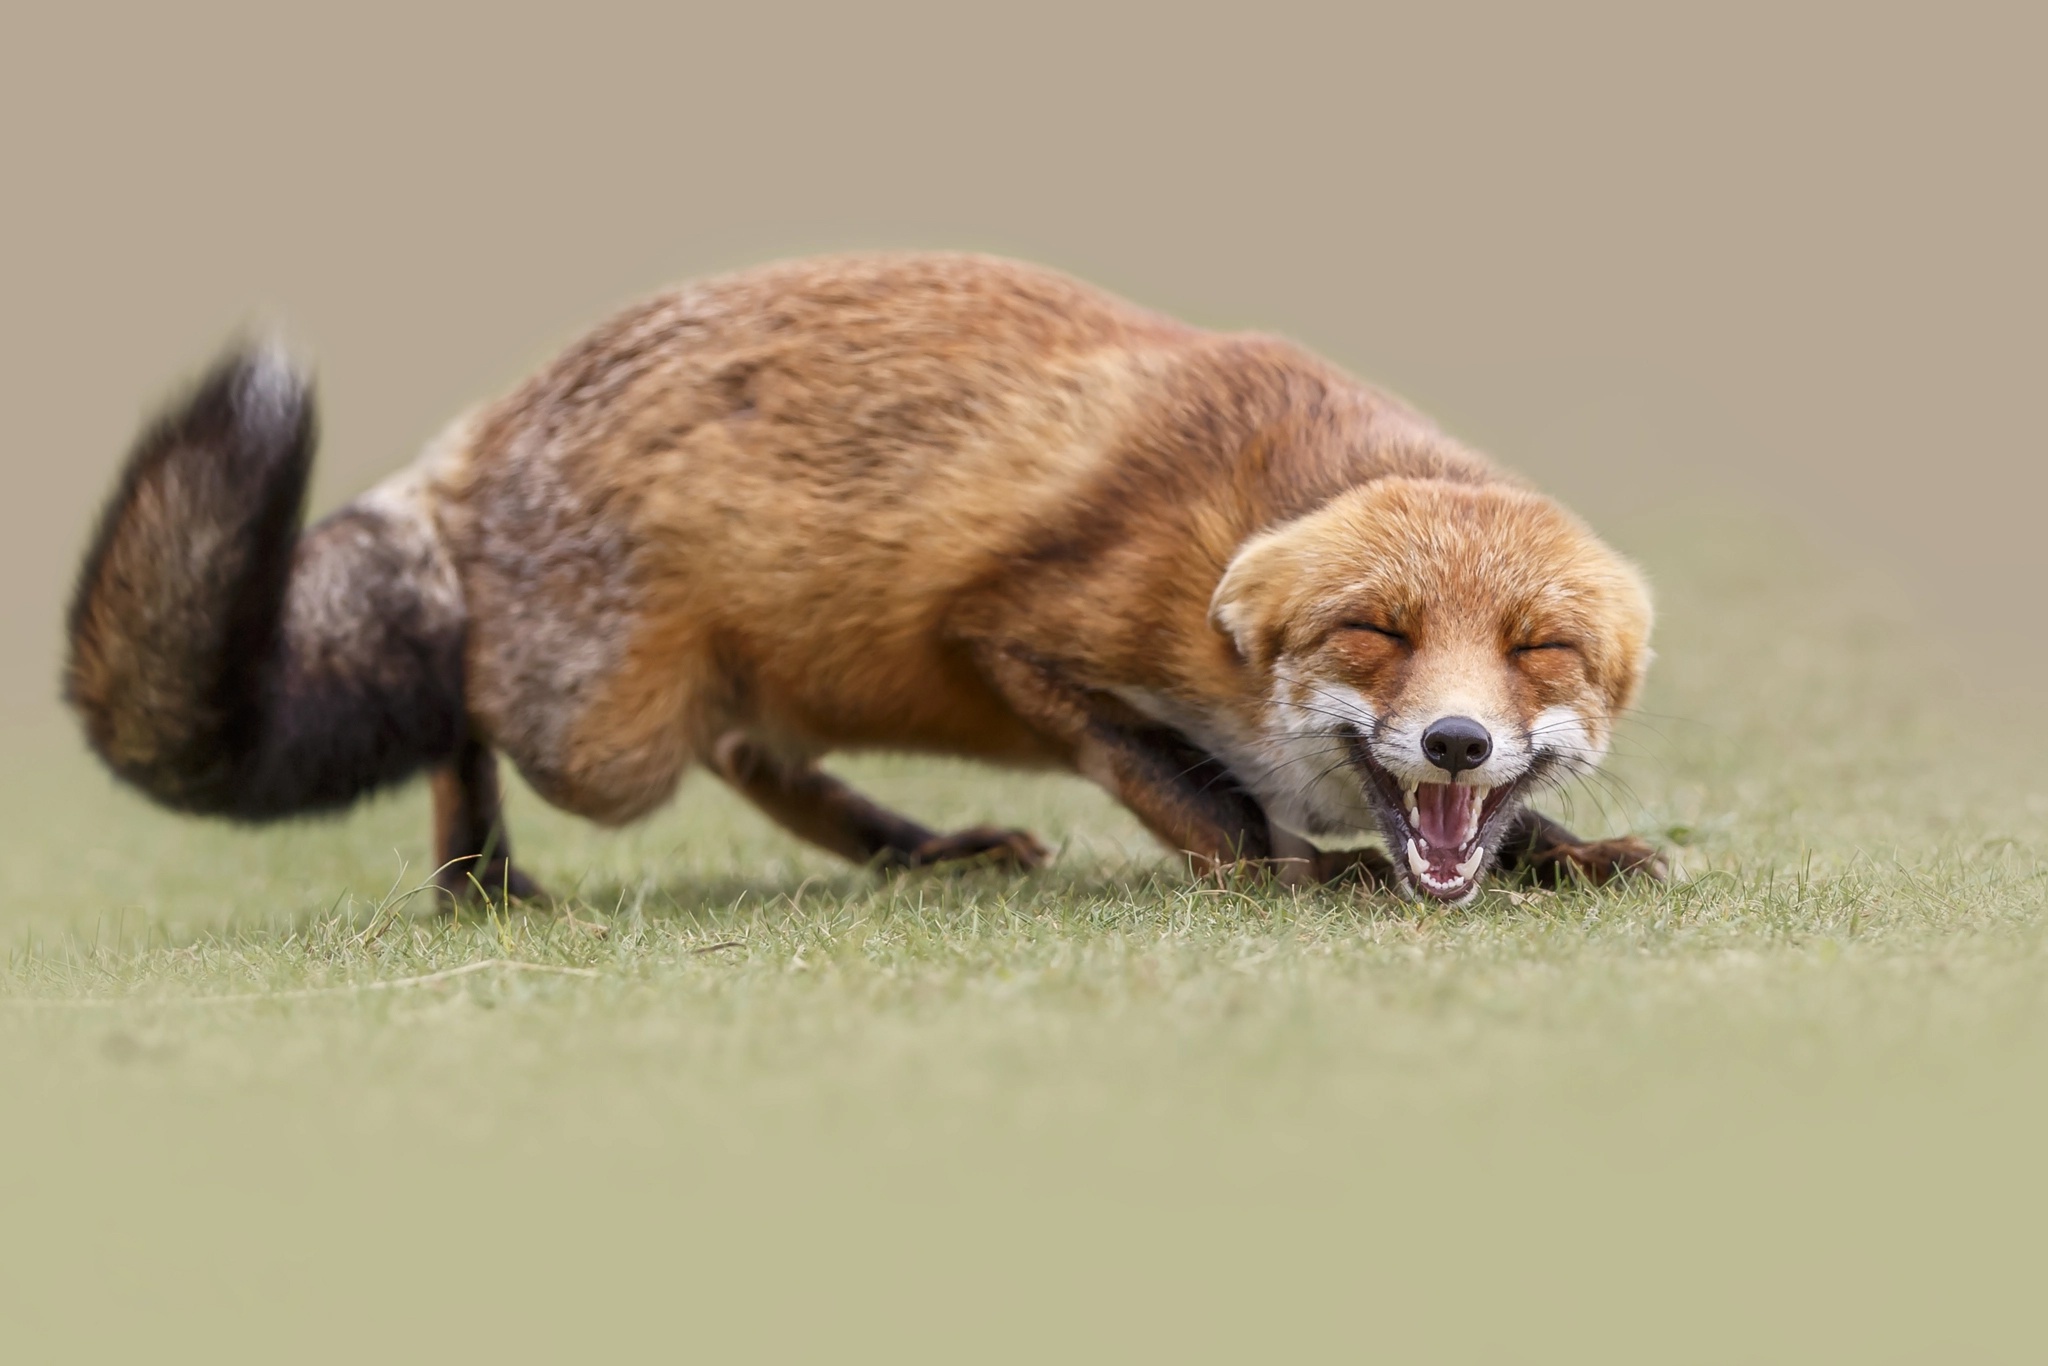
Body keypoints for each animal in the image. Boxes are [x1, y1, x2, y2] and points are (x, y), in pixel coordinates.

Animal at [65, 253, 1662, 906]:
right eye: (1374, 629)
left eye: (1538, 651)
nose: (1452, 739)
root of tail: (475, 437)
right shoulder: (1017, 635)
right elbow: (1199, 800)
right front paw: (1291, 870)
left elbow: (1491, 830)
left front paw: (1563, 853)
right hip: (603, 741)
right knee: (463, 700)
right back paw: (479, 886)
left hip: (718, 702)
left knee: (753, 755)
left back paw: (916, 849)